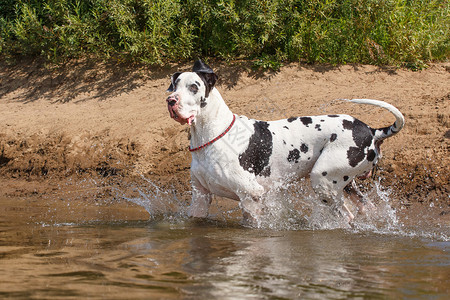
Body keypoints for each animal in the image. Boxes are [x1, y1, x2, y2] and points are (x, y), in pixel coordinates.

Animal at [165, 60, 404, 225]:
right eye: (174, 84)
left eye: (194, 87)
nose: (171, 100)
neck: (211, 135)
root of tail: (371, 131)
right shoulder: (200, 198)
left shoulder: (251, 197)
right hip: (345, 185)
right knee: (365, 207)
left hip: (323, 182)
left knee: (346, 216)